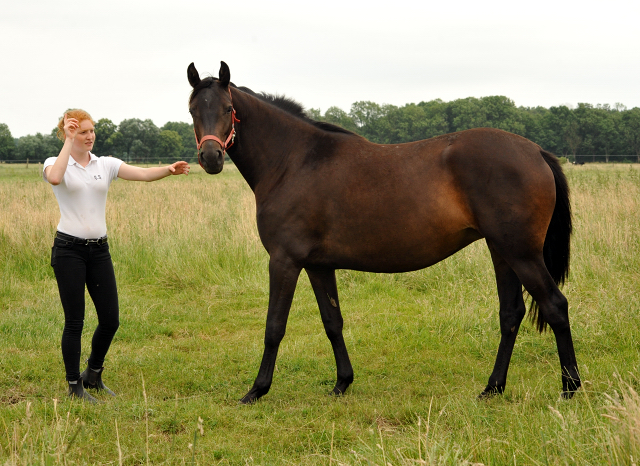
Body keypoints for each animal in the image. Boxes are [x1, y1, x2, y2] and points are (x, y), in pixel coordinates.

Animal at [186, 61, 580, 404]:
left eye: (227, 109)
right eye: (192, 110)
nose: (210, 158)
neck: (295, 161)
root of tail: (536, 151)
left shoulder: (284, 261)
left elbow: (274, 327)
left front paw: (257, 390)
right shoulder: (318, 265)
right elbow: (332, 322)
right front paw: (342, 383)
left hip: (521, 253)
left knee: (555, 306)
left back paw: (569, 388)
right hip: (502, 252)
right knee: (510, 314)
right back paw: (493, 388)